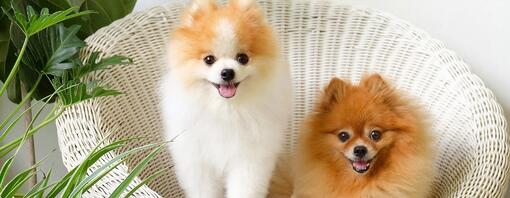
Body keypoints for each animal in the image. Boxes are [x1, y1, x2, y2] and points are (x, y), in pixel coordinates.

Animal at [161, 0, 292, 196]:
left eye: (243, 58)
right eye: (209, 59)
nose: (227, 72)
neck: (226, 110)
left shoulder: (249, 159)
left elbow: (245, 189)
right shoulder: (198, 162)